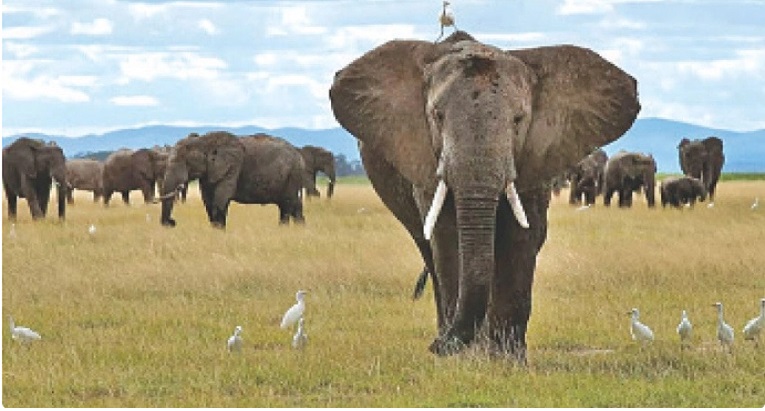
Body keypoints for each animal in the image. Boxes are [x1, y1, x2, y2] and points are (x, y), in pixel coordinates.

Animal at [160, 132, 306, 229]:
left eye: (186, 163)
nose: (172, 222)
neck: (204, 141)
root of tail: (299, 155)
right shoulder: (209, 173)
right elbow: (207, 201)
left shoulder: (232, 166)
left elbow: (221, 198)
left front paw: (219, 231)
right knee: (294, 204)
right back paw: (300, 229)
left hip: (293, 174)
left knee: (286, 205)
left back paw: (283, 229)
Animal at [328, 31, 640, 360]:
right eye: (437, 116)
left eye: (518, 120)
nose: (436, 346)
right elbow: (447, 237)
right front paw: (465, 358)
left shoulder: (535, 158)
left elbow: (521, 236)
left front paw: (507, 359)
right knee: (427, 248)